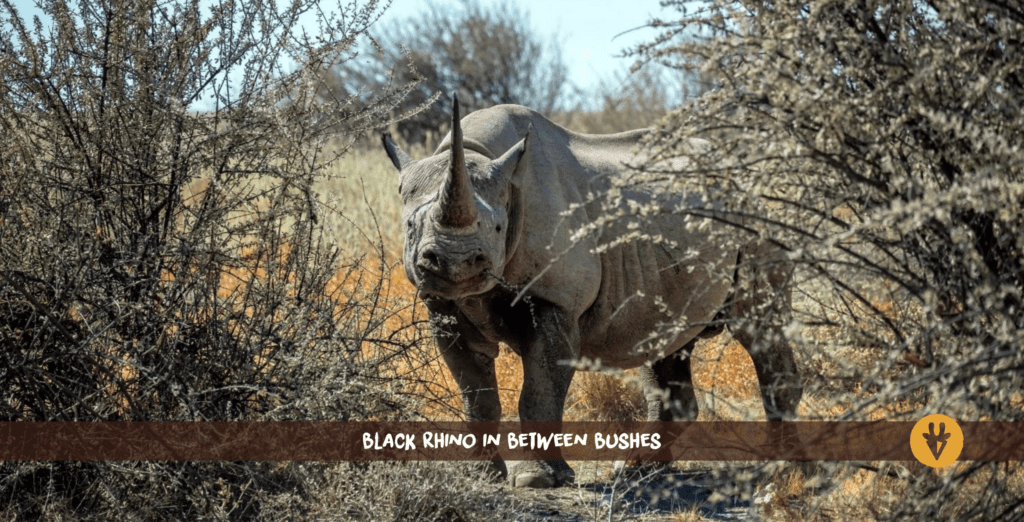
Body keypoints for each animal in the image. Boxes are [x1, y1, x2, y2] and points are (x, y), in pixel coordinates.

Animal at [381, 95, 801, 488]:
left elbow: (538, 393)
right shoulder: (444, 304)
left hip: (758, 222)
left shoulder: (554, 298)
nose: (457, 264)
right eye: (410, 227)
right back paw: (636, 470)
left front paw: (536, 479)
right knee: (665, 337)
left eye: (498, 228)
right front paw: (481, 476)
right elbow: (476, 395)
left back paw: (779, 473)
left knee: (759, 327)